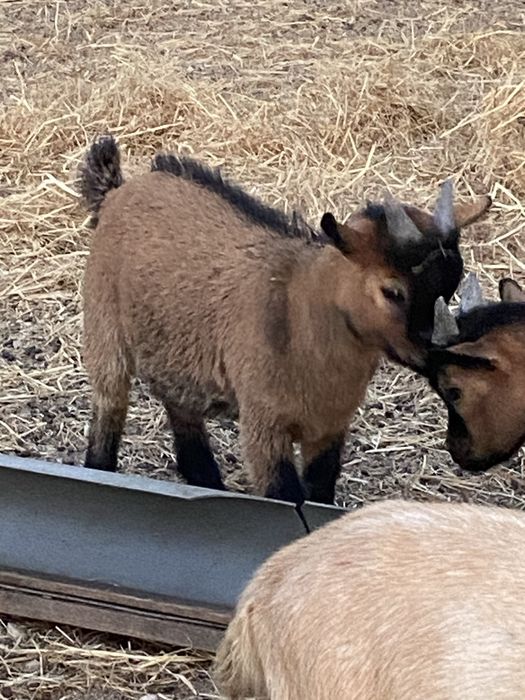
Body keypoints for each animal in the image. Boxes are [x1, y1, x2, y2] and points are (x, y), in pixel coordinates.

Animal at [79, 134, 490, 506]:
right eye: (392, 291)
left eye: (453, 284)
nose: (436, 349)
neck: (298, 314)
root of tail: (118, 190)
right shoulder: (264, 424)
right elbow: (284, 496)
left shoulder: (330, 426)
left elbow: (320, 492)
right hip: (104, 325)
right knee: (109, 406)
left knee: (183, 414)